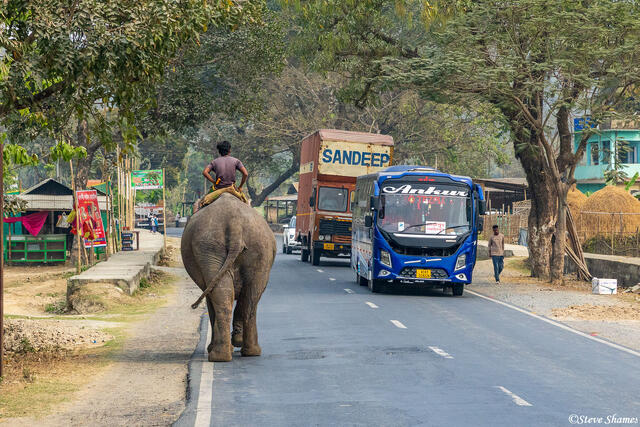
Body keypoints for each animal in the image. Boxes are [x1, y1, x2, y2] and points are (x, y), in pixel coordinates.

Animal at [181, 193, 276, 362]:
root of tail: (235, 224)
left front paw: (233, 341)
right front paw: (236, 341)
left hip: (211, 247)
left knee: (231, 295)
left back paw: (220, 354)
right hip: (254, 248)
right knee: (250, 296)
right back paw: (242, 353)